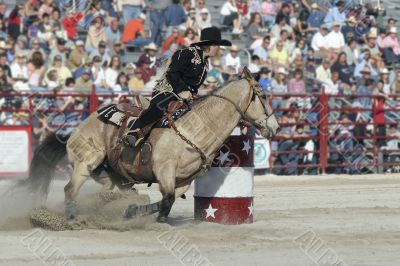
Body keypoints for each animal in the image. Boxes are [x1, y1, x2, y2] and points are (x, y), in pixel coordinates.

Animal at [21, 68, 278, 222]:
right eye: (263, 95)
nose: (275, 126)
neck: (196, 126)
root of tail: (76, 129)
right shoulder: (164, 171)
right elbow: (166, 200)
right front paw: (152, 219)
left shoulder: (185, 180)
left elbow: (166, 202)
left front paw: (133, 210)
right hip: (86, 163)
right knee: (70, 189)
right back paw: (72, 218)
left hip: (110, 175)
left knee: (106, 192)